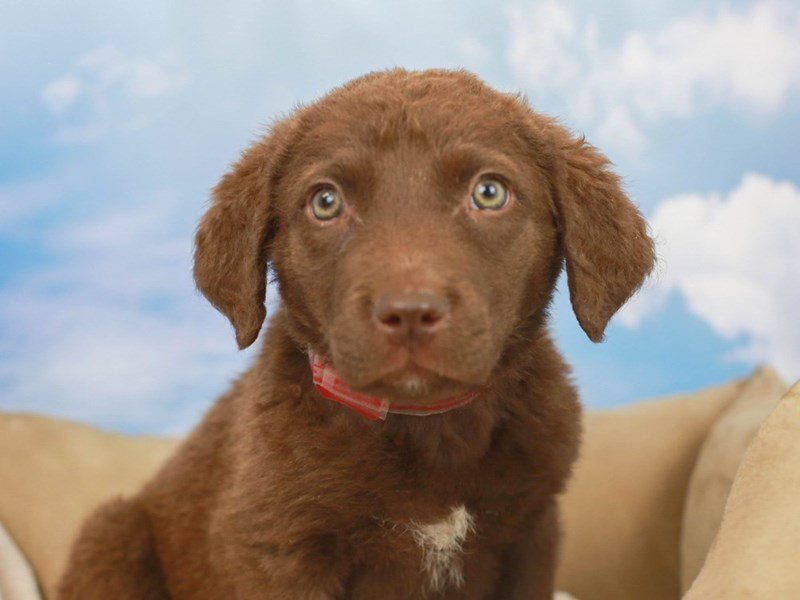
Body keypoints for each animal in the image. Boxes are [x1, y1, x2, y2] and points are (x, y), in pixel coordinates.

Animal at [59, 68, 652, 596]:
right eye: (326, 202)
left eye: (489, 193)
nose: (409, 313)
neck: (427, 425)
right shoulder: (276, 549)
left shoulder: (531, 532)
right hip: (109, 535)